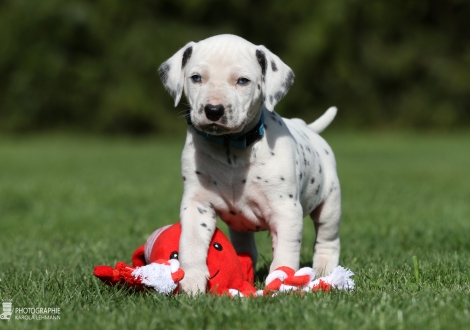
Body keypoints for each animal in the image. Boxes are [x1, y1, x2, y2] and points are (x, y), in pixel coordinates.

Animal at [160, 34, 340, 296]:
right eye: (196, 78)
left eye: (242, 81)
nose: (213, 110)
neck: (231, 148)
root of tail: (305, 126)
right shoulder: (197, 204)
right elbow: (191, 243)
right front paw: (191, 281)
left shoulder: (286, 210)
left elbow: (285, 254)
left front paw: (282, 283)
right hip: (240, 227)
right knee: (246, 247)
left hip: (330, 204)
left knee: (327, 238)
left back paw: (325, 268)